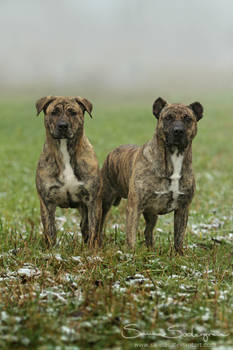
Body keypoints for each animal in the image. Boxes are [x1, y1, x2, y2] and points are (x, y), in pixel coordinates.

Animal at [35, 96, 102, 249]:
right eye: (54, 112)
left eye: (73, 112)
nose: (63, 125)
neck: (65, 150)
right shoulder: (47, 202)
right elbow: (49, 230)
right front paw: (51, 250)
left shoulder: (92, 201)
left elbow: (93, 228)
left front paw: (92, 250)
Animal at [101, 97, 203, 253]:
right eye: (167, 118)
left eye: (188, 118)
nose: (178, 131)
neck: (174, 158)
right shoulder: (134, 206)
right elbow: (131, 235)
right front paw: (131, 254)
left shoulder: (183, 208)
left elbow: (179, 236)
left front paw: (179, 254)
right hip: (103, 203)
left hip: (151, 214)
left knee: (148, 231)